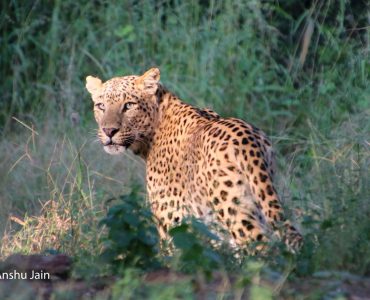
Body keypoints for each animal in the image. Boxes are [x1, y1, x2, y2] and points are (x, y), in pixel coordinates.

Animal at [86, 67, 304, 253]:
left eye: (129, 105)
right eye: (101, 106)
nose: (109, 131)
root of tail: (247, 137)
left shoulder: (170, 220)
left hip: (234, 210)